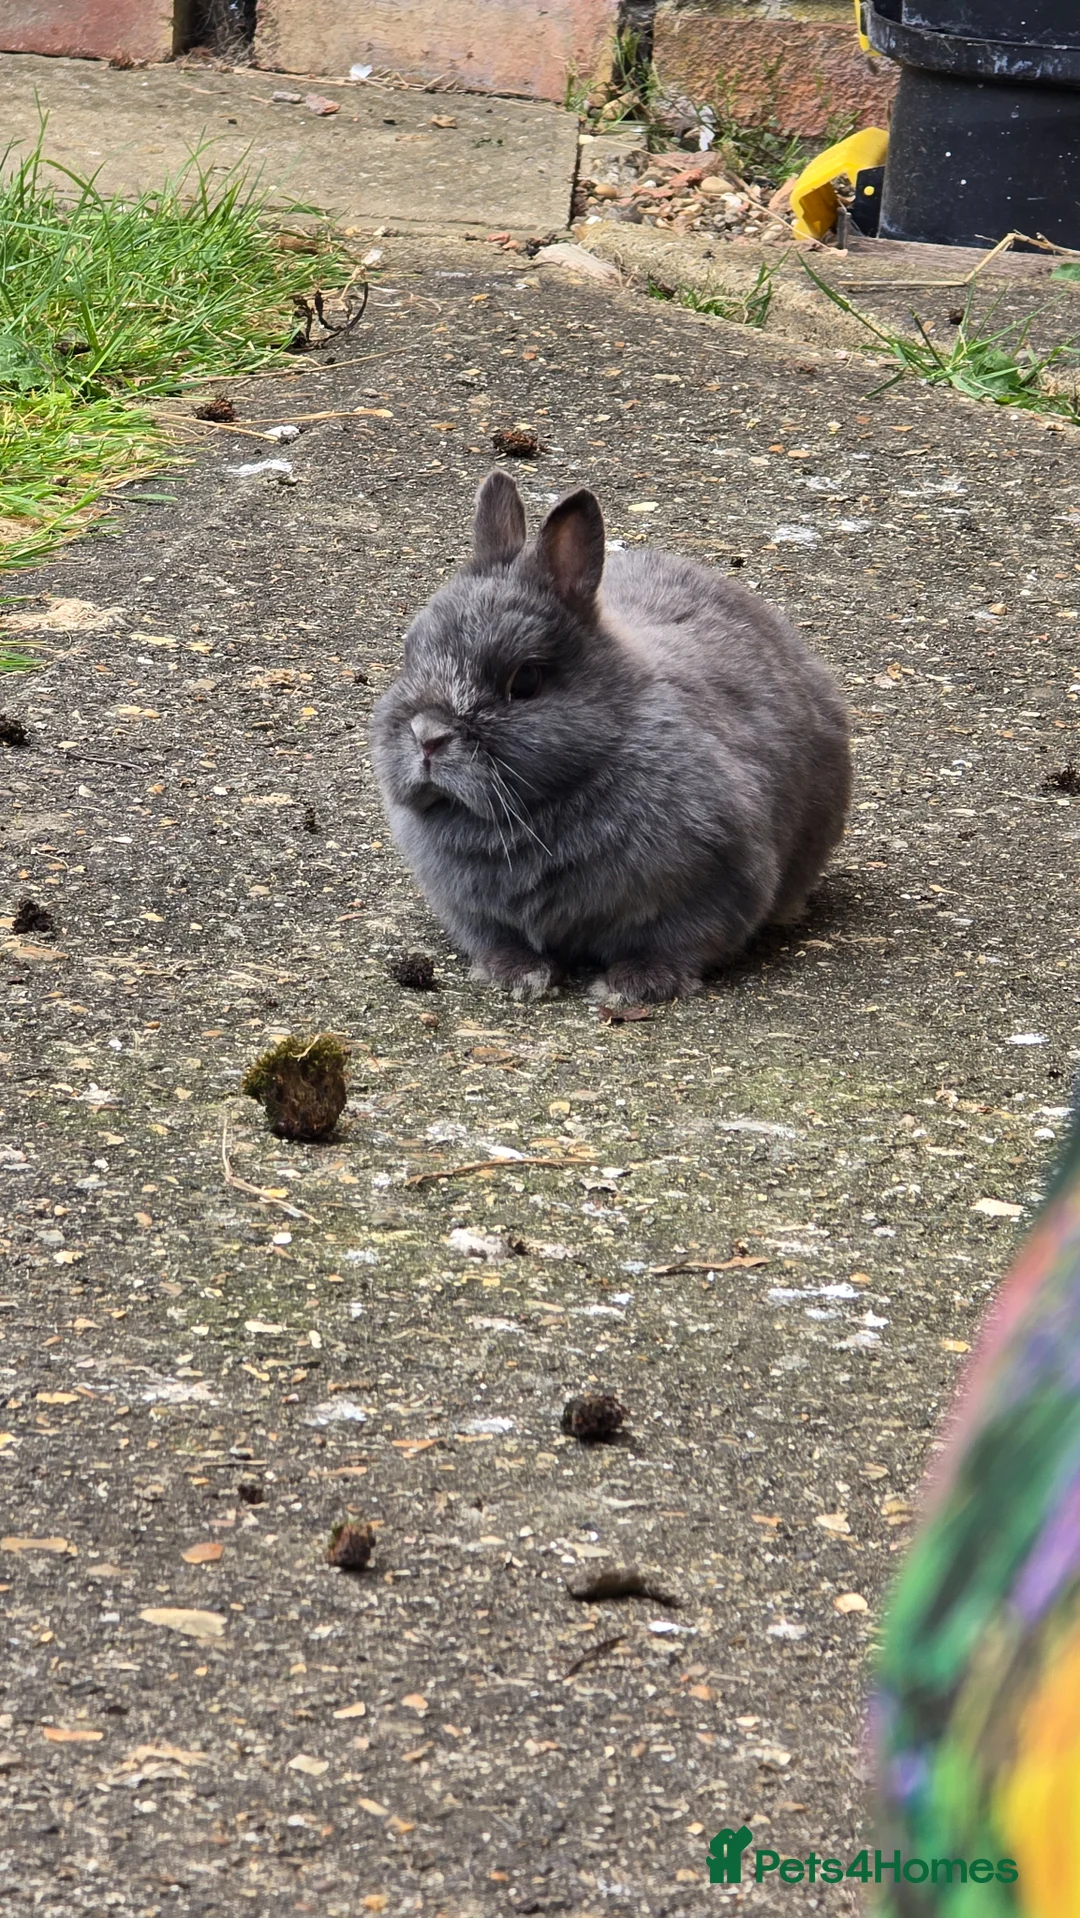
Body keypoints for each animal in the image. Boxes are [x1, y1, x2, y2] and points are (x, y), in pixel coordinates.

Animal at [369, 471, 852, 1004]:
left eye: (525, 682)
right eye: (410, 654)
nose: (427, 737)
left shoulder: (714, 884)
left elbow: (681, 942)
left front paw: (636, 985)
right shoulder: (473, 912)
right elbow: (497, 940)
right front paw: (519, 975)